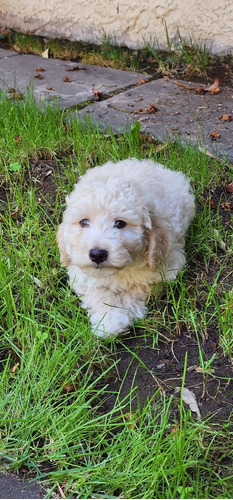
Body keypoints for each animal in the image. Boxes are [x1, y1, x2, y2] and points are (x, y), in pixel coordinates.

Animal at [57, 158, 195, 338]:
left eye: (120, 224)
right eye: (84, 222)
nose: (97, 254)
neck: (119, 271)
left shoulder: (167, 265)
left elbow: (137, 288)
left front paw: (123, 314)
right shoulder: (80, 273)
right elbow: (97, 292)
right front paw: (108, 320)